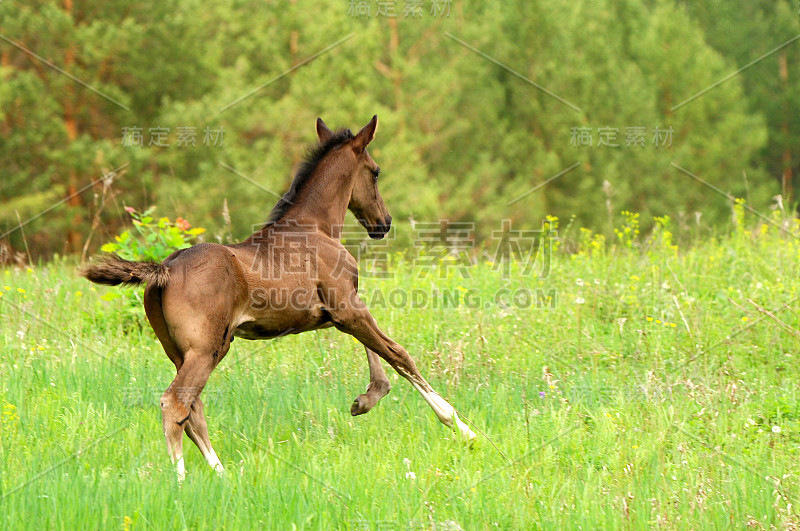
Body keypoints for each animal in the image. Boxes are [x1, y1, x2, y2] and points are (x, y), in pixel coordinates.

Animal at [83, 117, 476, 482]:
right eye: (376, 172)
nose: (384, 223)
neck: (316, 227)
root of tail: (164, 268)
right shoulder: (347, 308)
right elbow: (399, 355)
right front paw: (460, 426)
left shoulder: (339, 313)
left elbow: (379, 354)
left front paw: (364, 401)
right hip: (204, 349)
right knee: (175, 403)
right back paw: (181, 481)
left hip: (186, 351)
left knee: (193, 409)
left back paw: (221, 474)